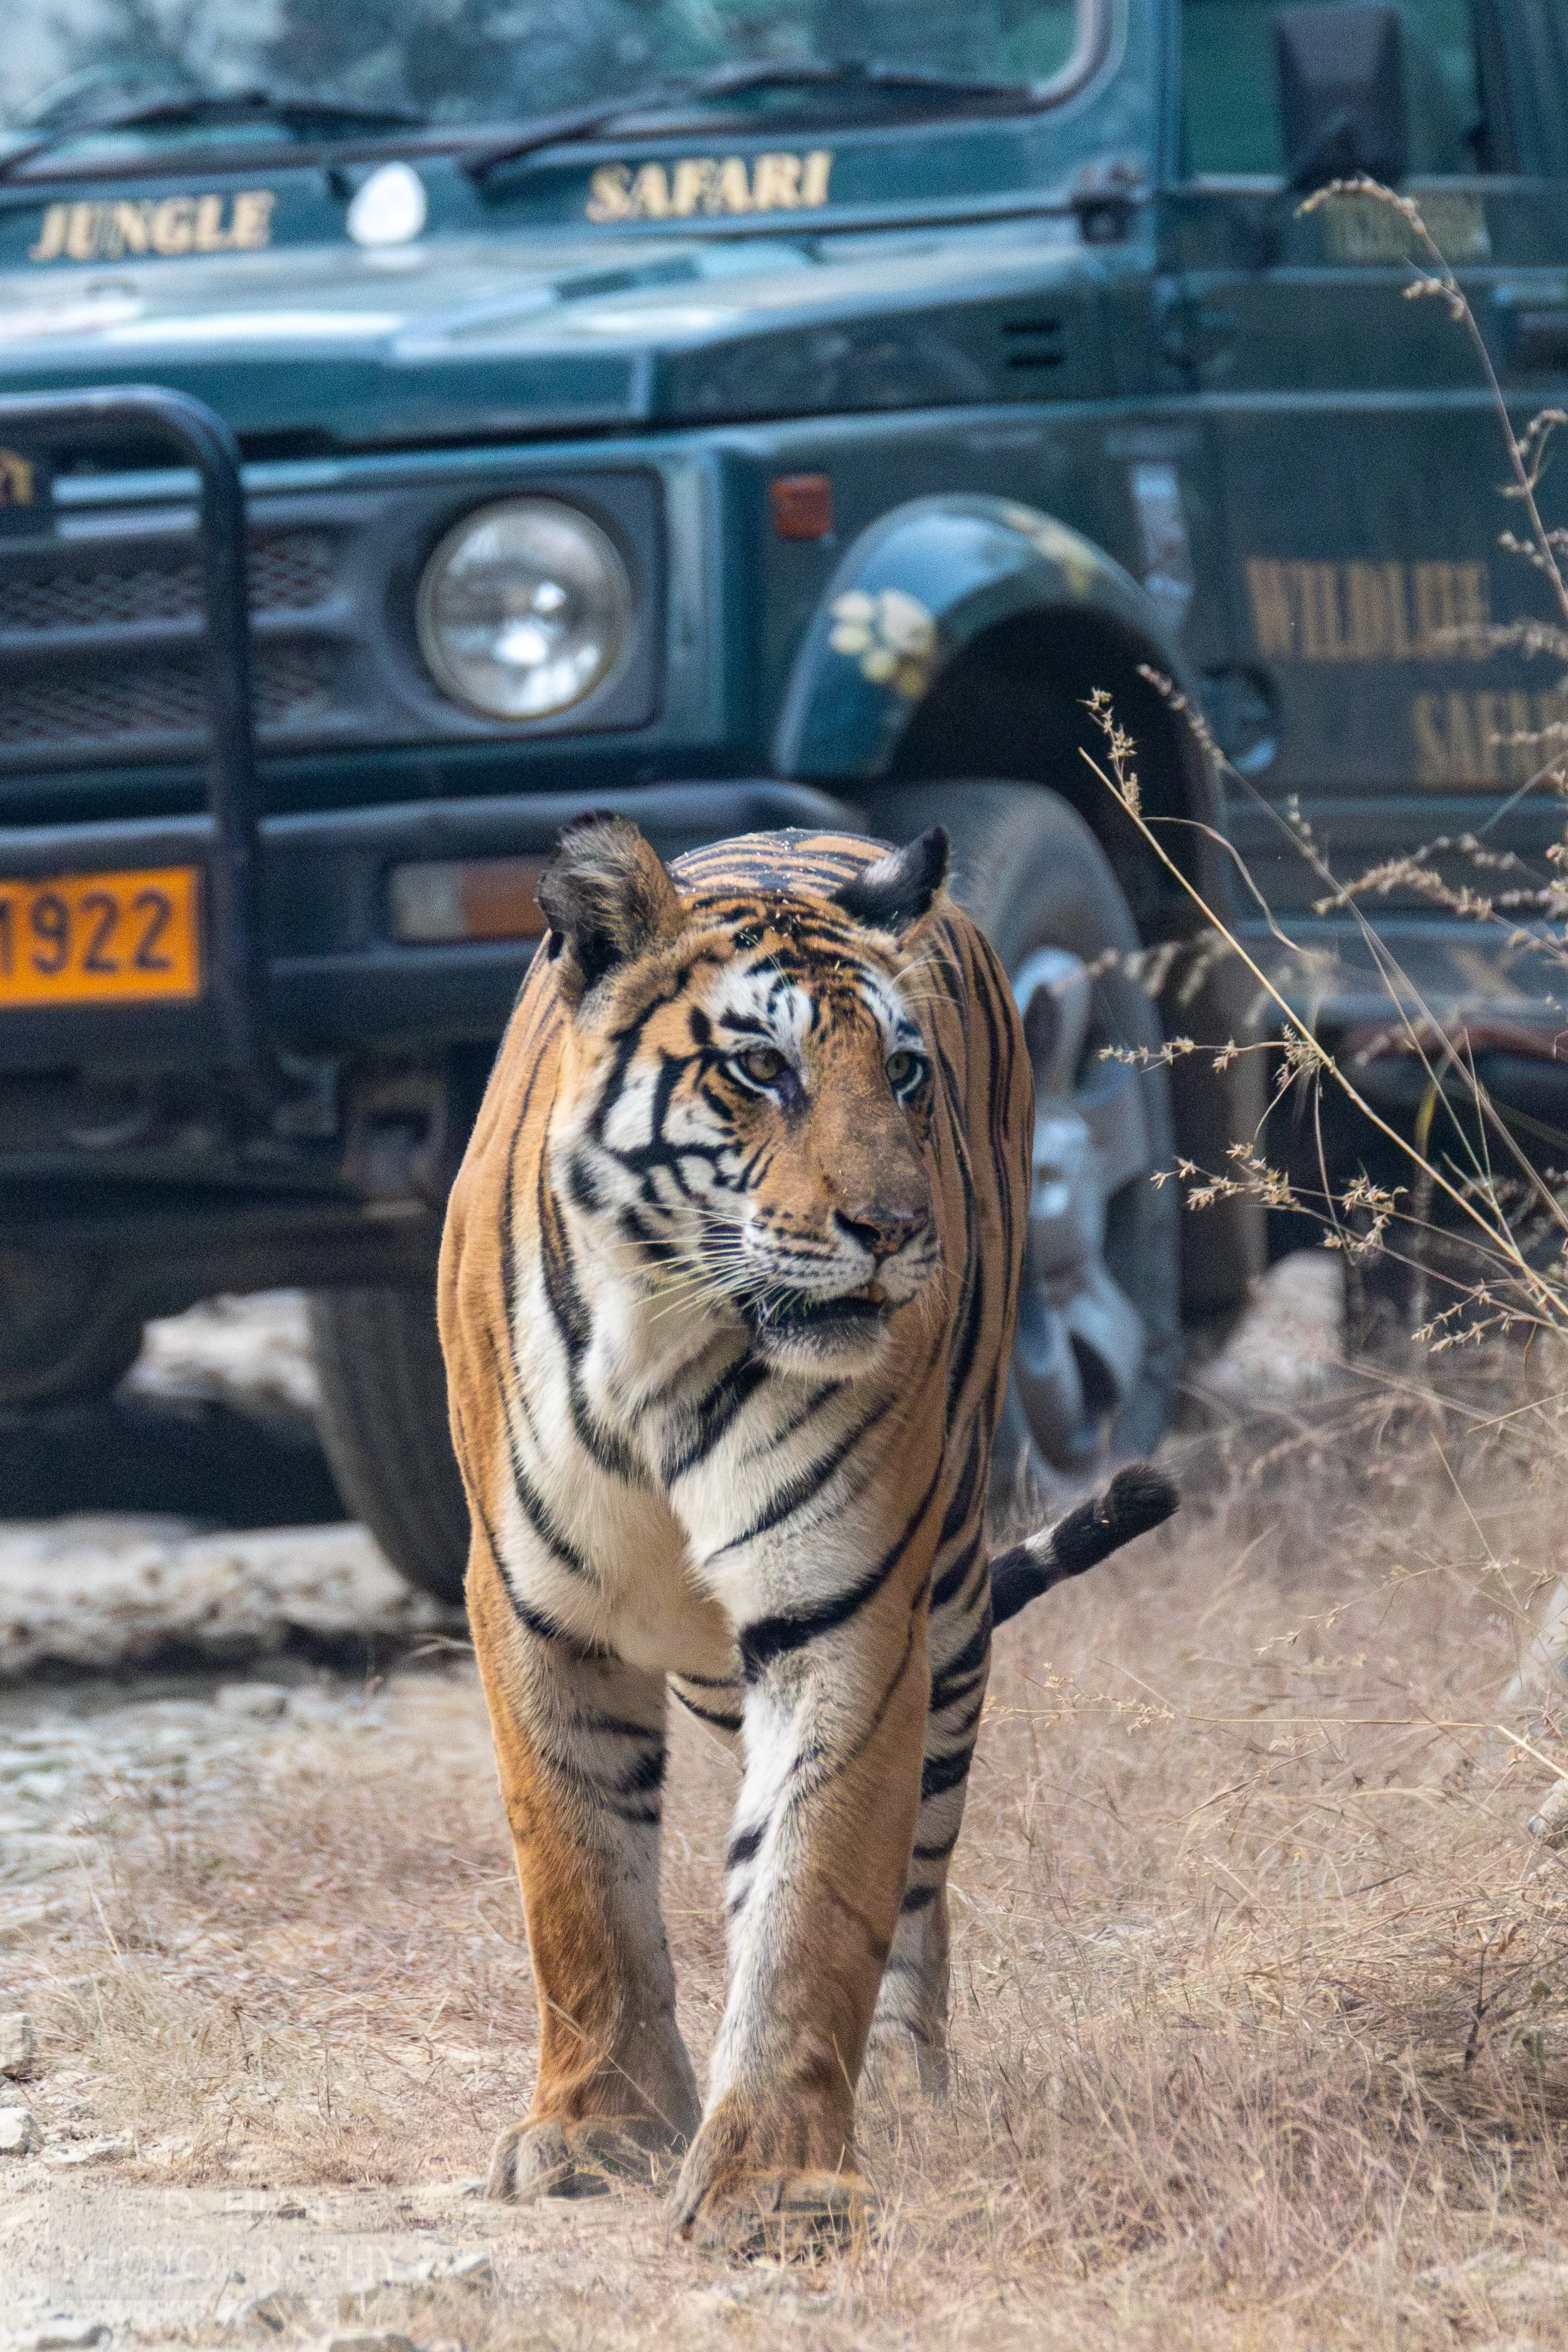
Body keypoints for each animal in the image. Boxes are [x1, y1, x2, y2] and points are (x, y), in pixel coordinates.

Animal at [437, 814, 1177, 2246]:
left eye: (902, 1073)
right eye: (760, 1069)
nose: (896, 1231)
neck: (663, 1347)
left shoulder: (844, 1613)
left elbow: (816, 1895)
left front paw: (773, 2175)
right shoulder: (532, 1607)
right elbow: (577, 1889)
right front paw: (600, 2129)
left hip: (948, 1608)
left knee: (915, 1874)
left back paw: (899, 2077)